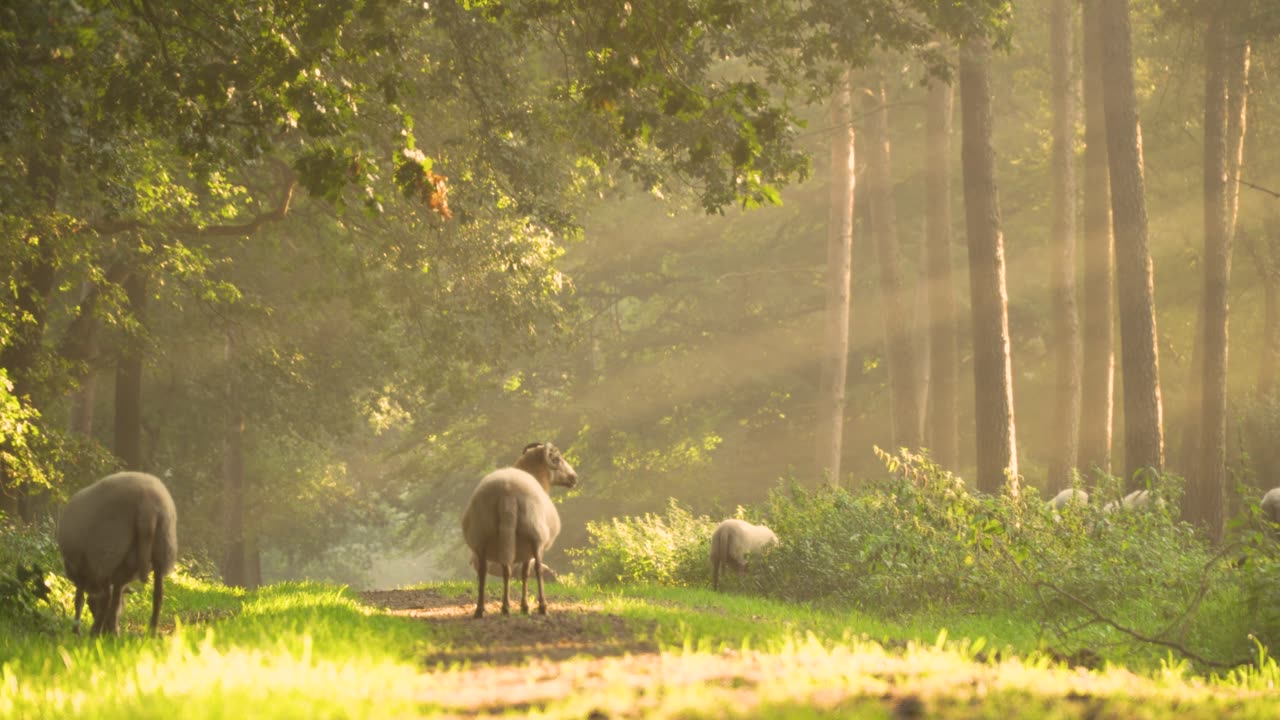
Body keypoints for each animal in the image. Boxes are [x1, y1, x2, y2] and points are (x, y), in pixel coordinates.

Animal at [56, 471, 177, 632]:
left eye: (91, 605)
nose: (106, 629)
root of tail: (147, 504)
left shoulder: (80, 570)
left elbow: (79, 601)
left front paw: (77, 630)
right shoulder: (120, 576)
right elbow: (116, 599)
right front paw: (112, 628)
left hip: (107, 552)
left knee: (106, 597)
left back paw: (95, 632)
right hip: (163, 547)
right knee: (158, 596)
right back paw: (150, 631)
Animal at [460, 440, 576, 614]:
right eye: (557, 459)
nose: (574, 477)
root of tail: (507, 494)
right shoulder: (528, 548)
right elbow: (526, 573)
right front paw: (524, 605)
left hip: (481, 537)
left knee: (487, 571)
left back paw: (485, 608)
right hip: (534, 535)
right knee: (536, 570)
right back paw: (541, 606)